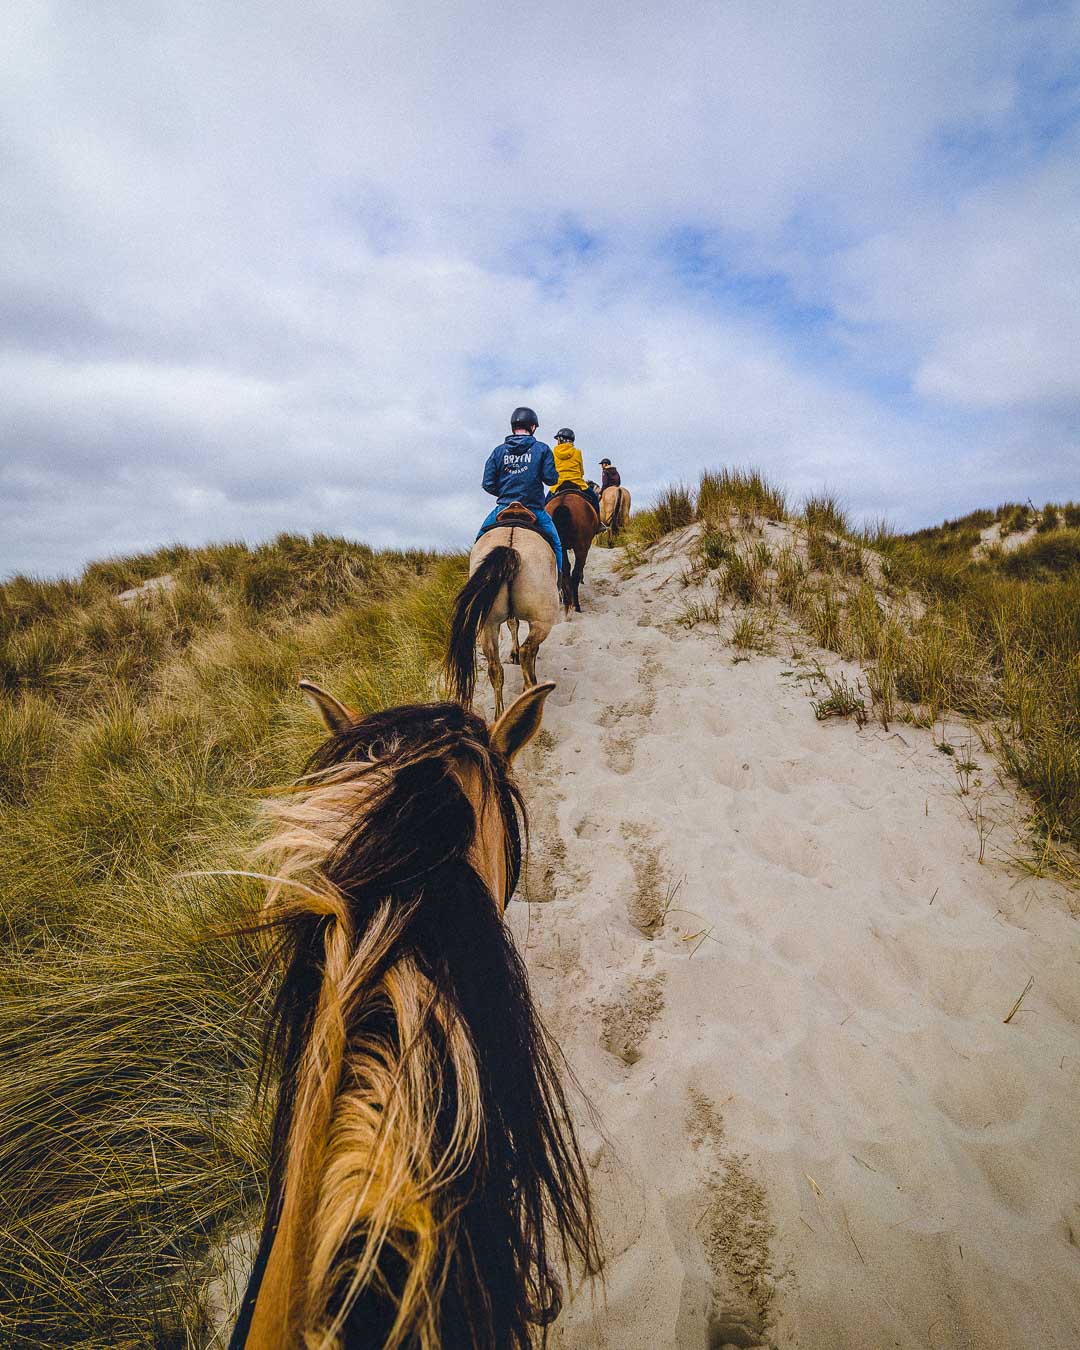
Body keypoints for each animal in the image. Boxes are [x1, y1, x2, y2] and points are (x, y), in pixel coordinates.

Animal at [442, 521, 561, 723]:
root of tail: (511, 546)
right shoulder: (535, 621)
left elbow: (513, 624)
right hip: (542, 622)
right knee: (527, 652)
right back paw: (530, 691)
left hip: (488, 625)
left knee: (495, 668)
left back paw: (500, 715)